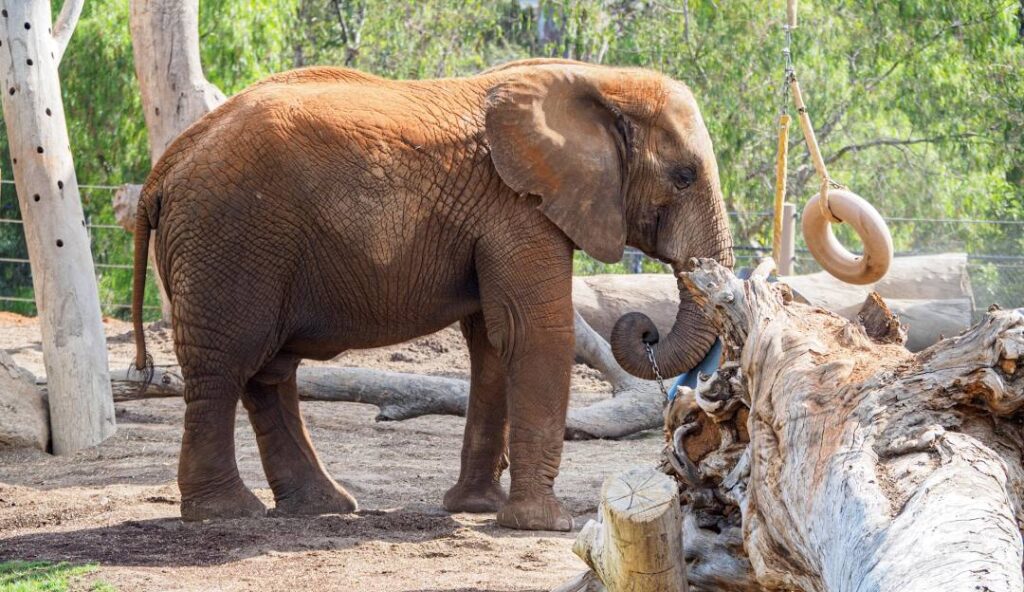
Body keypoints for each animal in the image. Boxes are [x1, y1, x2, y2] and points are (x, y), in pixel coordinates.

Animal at [130, 58, 737, 528]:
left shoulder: (501, 217)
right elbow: (534, 334)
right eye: (684, 176)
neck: (598, 78)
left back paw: (323, 507)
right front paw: (545, 524)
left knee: (267, 371)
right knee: (225, 366)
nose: (645, 329)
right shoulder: (520, 209)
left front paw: (476, 508)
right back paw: (227, 513)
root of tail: (163, 168)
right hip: (229, 240)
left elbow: (492, 345)